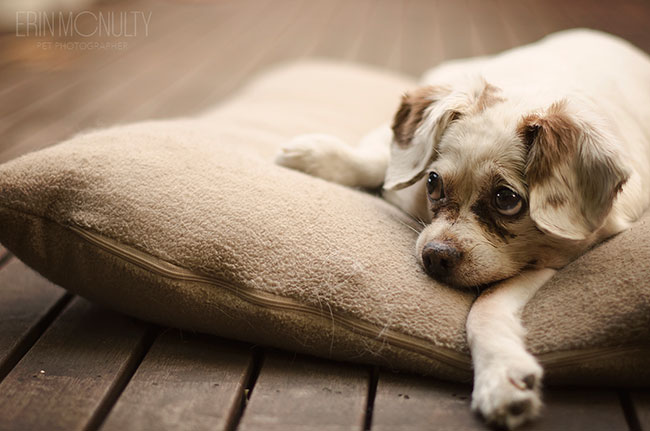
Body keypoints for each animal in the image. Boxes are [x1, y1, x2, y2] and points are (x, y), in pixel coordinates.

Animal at [272, 29, 648, 428]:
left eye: (506, 198)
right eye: (433, 182)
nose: (435, 257)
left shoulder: (553, 261)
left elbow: (485, 307)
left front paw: (501, 376)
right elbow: (383, 160)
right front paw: (316, 156)